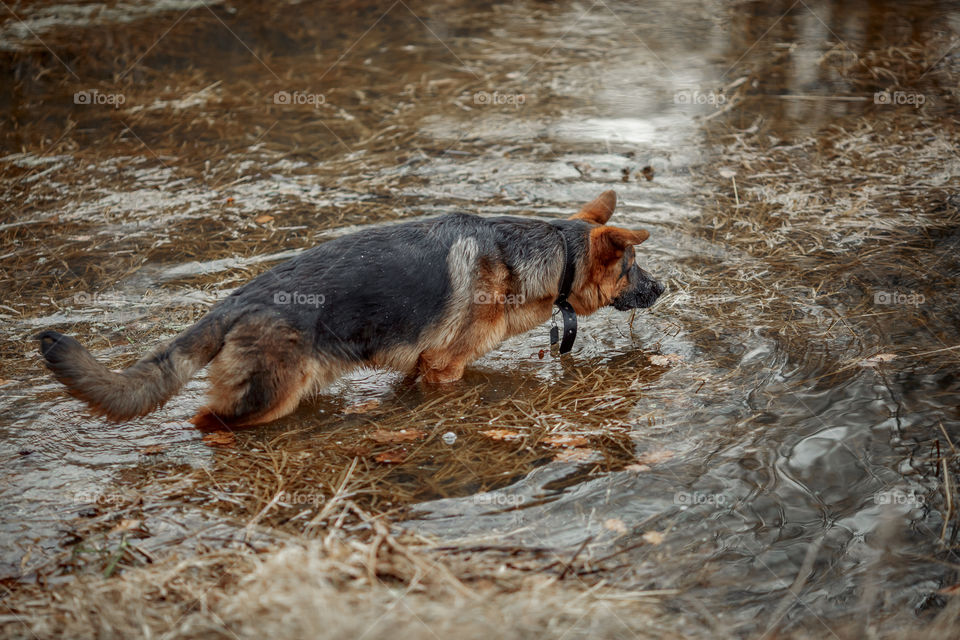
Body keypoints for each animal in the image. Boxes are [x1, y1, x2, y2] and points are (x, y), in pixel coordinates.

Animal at [41, 191, 664, 430]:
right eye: (633, 267)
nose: (662, 289)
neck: (545, 255)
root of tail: (237, 300)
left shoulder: (420, 368)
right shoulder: (444, 368)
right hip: (269, 397)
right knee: (207, 419)